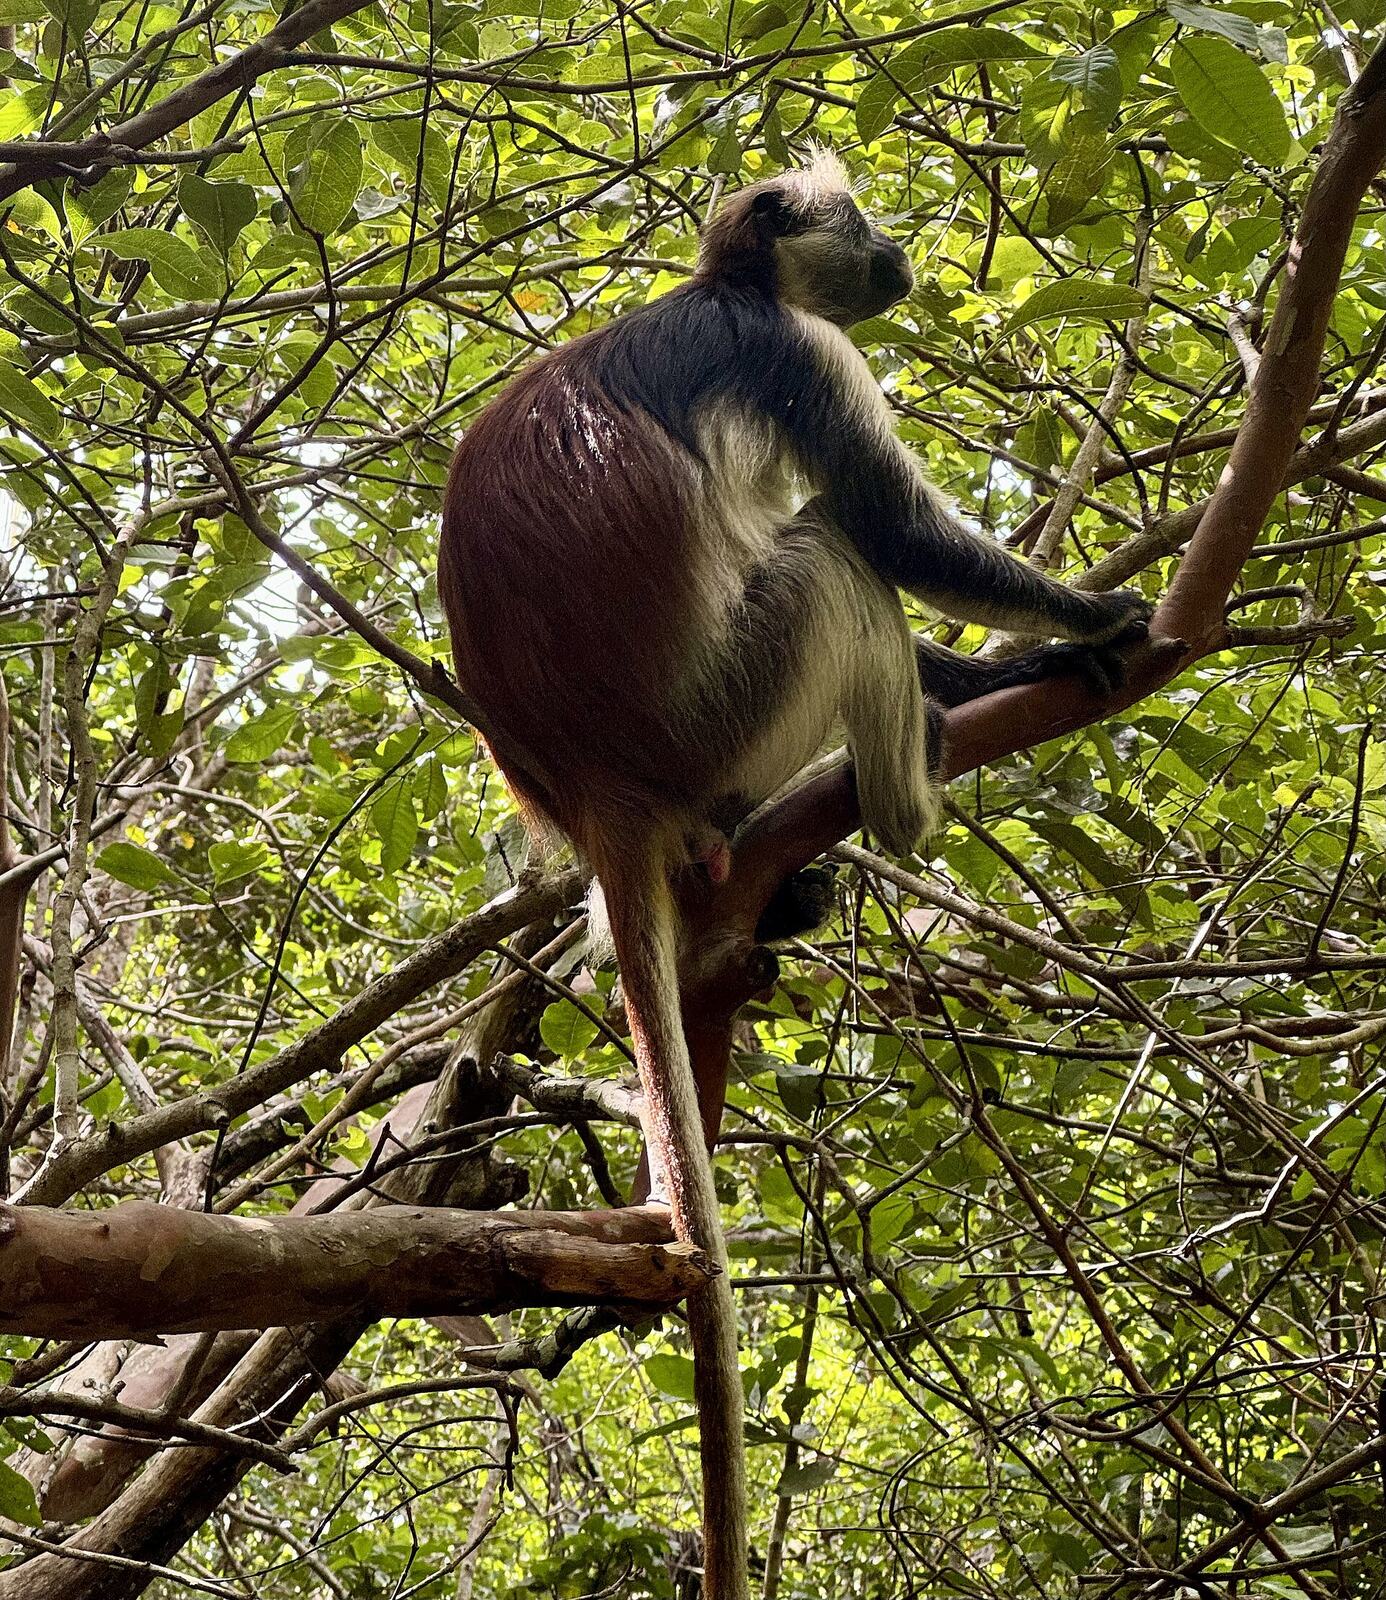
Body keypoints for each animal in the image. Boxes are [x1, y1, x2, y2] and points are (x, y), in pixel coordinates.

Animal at [437, 151, 1151, 1598]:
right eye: (861, 225)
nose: (899, 252)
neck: (721, 287)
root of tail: (587, 784)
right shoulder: (797, 354)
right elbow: (888, 527)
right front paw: (1081, 623)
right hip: (727, 703)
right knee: (830, 552)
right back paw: (906, 801)